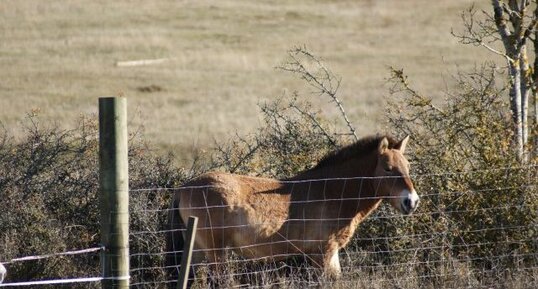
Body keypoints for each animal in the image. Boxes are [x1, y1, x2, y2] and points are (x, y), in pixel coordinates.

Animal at [165, 134, 416, 284]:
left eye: (407, 166)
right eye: (387, 168)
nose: (411, 201)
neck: (332, 189)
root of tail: (184, 189)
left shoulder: (328, 254)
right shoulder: (324, 252)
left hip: (197, 252)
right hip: (216, 253)